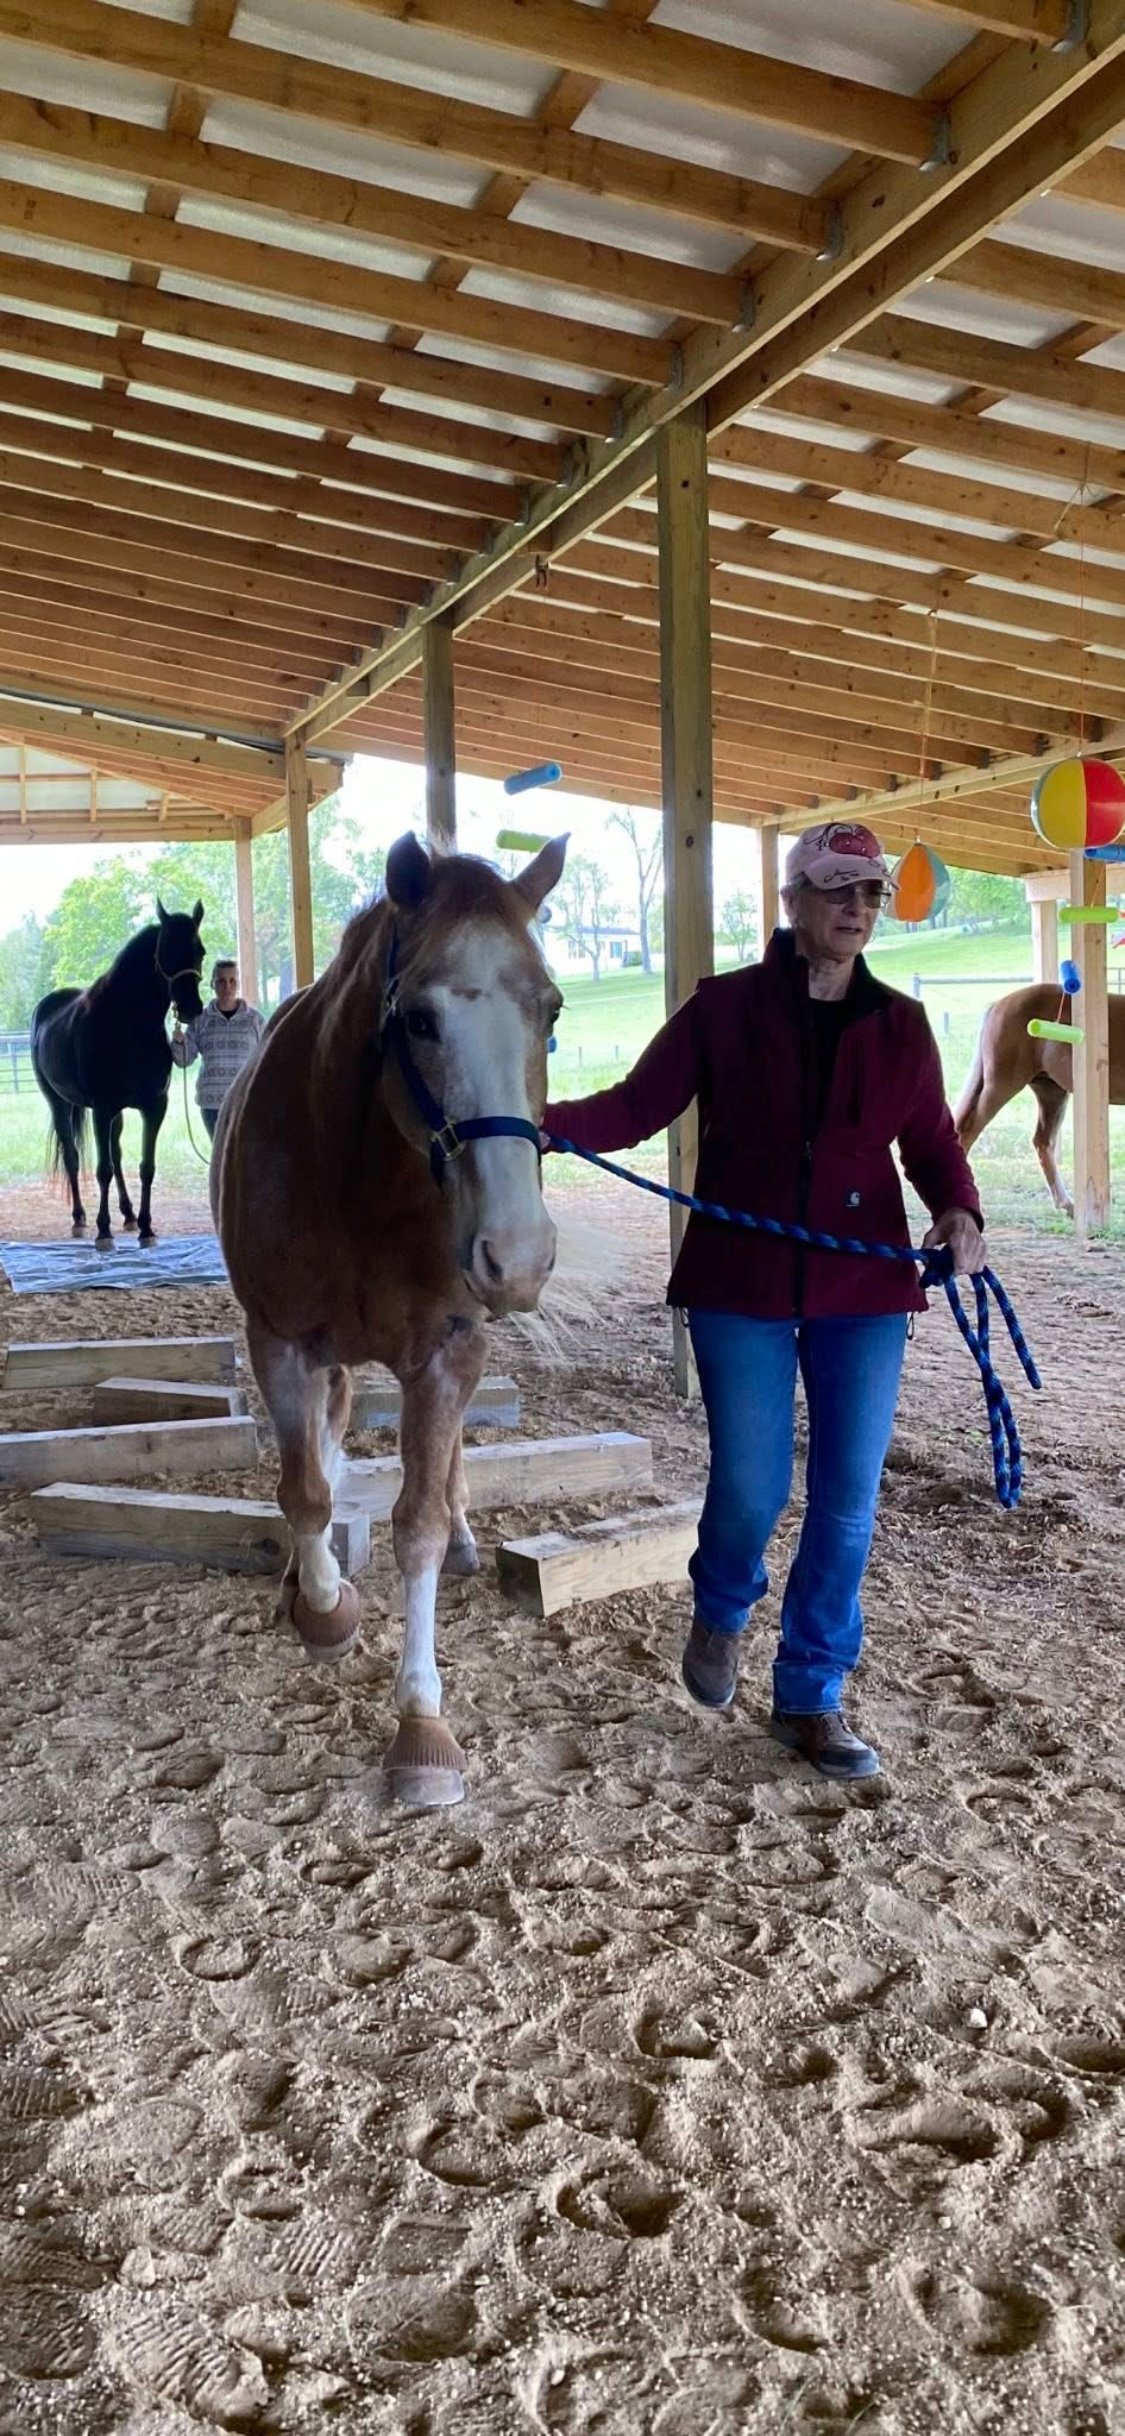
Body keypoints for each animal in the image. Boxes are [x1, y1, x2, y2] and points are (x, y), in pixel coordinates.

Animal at [31, 900, 205, 1246]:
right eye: (165, 949)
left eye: (200, 951)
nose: (192, 1008)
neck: (128, 1025)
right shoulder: (102, 1108)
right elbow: (102, 1170)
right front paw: (103, 1231)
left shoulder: (153, 1107)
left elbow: (146, 1166)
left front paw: (147, 1227)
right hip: (59, 1103)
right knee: (73, 1157)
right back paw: (80, 1219)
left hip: (116, 1114)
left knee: (117, 1153)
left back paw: (128, 1215)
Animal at [212, 833, 566, 1811]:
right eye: (418, 1020)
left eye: (551, 1011)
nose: (516, 1255)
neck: (363, 1180)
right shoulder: (281, 1342)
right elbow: (304, 1489)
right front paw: (324, 1608)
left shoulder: (447, 1353)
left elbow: (419, 1523)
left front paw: (421, 1723)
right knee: (323, 1447)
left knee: (438, 1475)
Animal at [955, 982, 1125, 1216]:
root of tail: (998, 1005)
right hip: (1000, 1086)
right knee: (968, 1131)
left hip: (1051, 1092)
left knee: (1042, 1141)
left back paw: (1067, 1204)